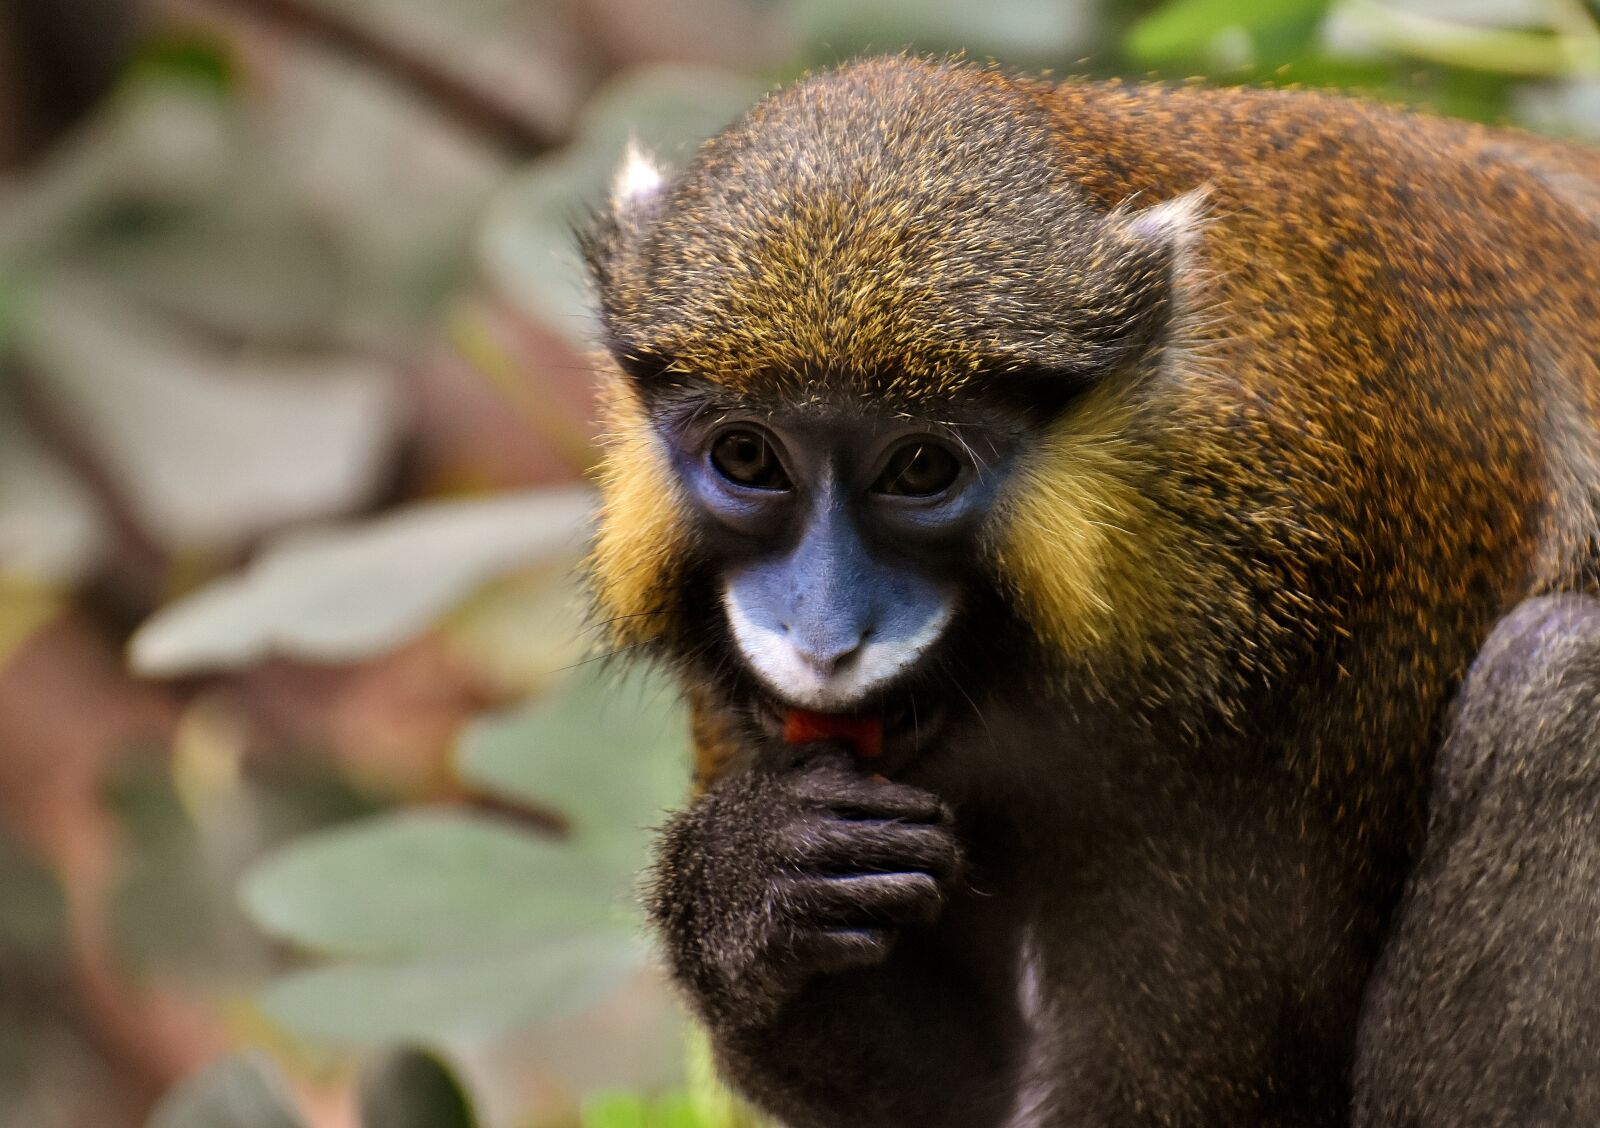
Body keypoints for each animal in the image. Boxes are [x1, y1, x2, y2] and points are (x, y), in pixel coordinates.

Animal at [579, 55, 1600, 1127]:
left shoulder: (1314, 604)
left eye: (920, 469)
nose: (822, 641)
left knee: (1561, 680)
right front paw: (748, 875)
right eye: (747, 457)